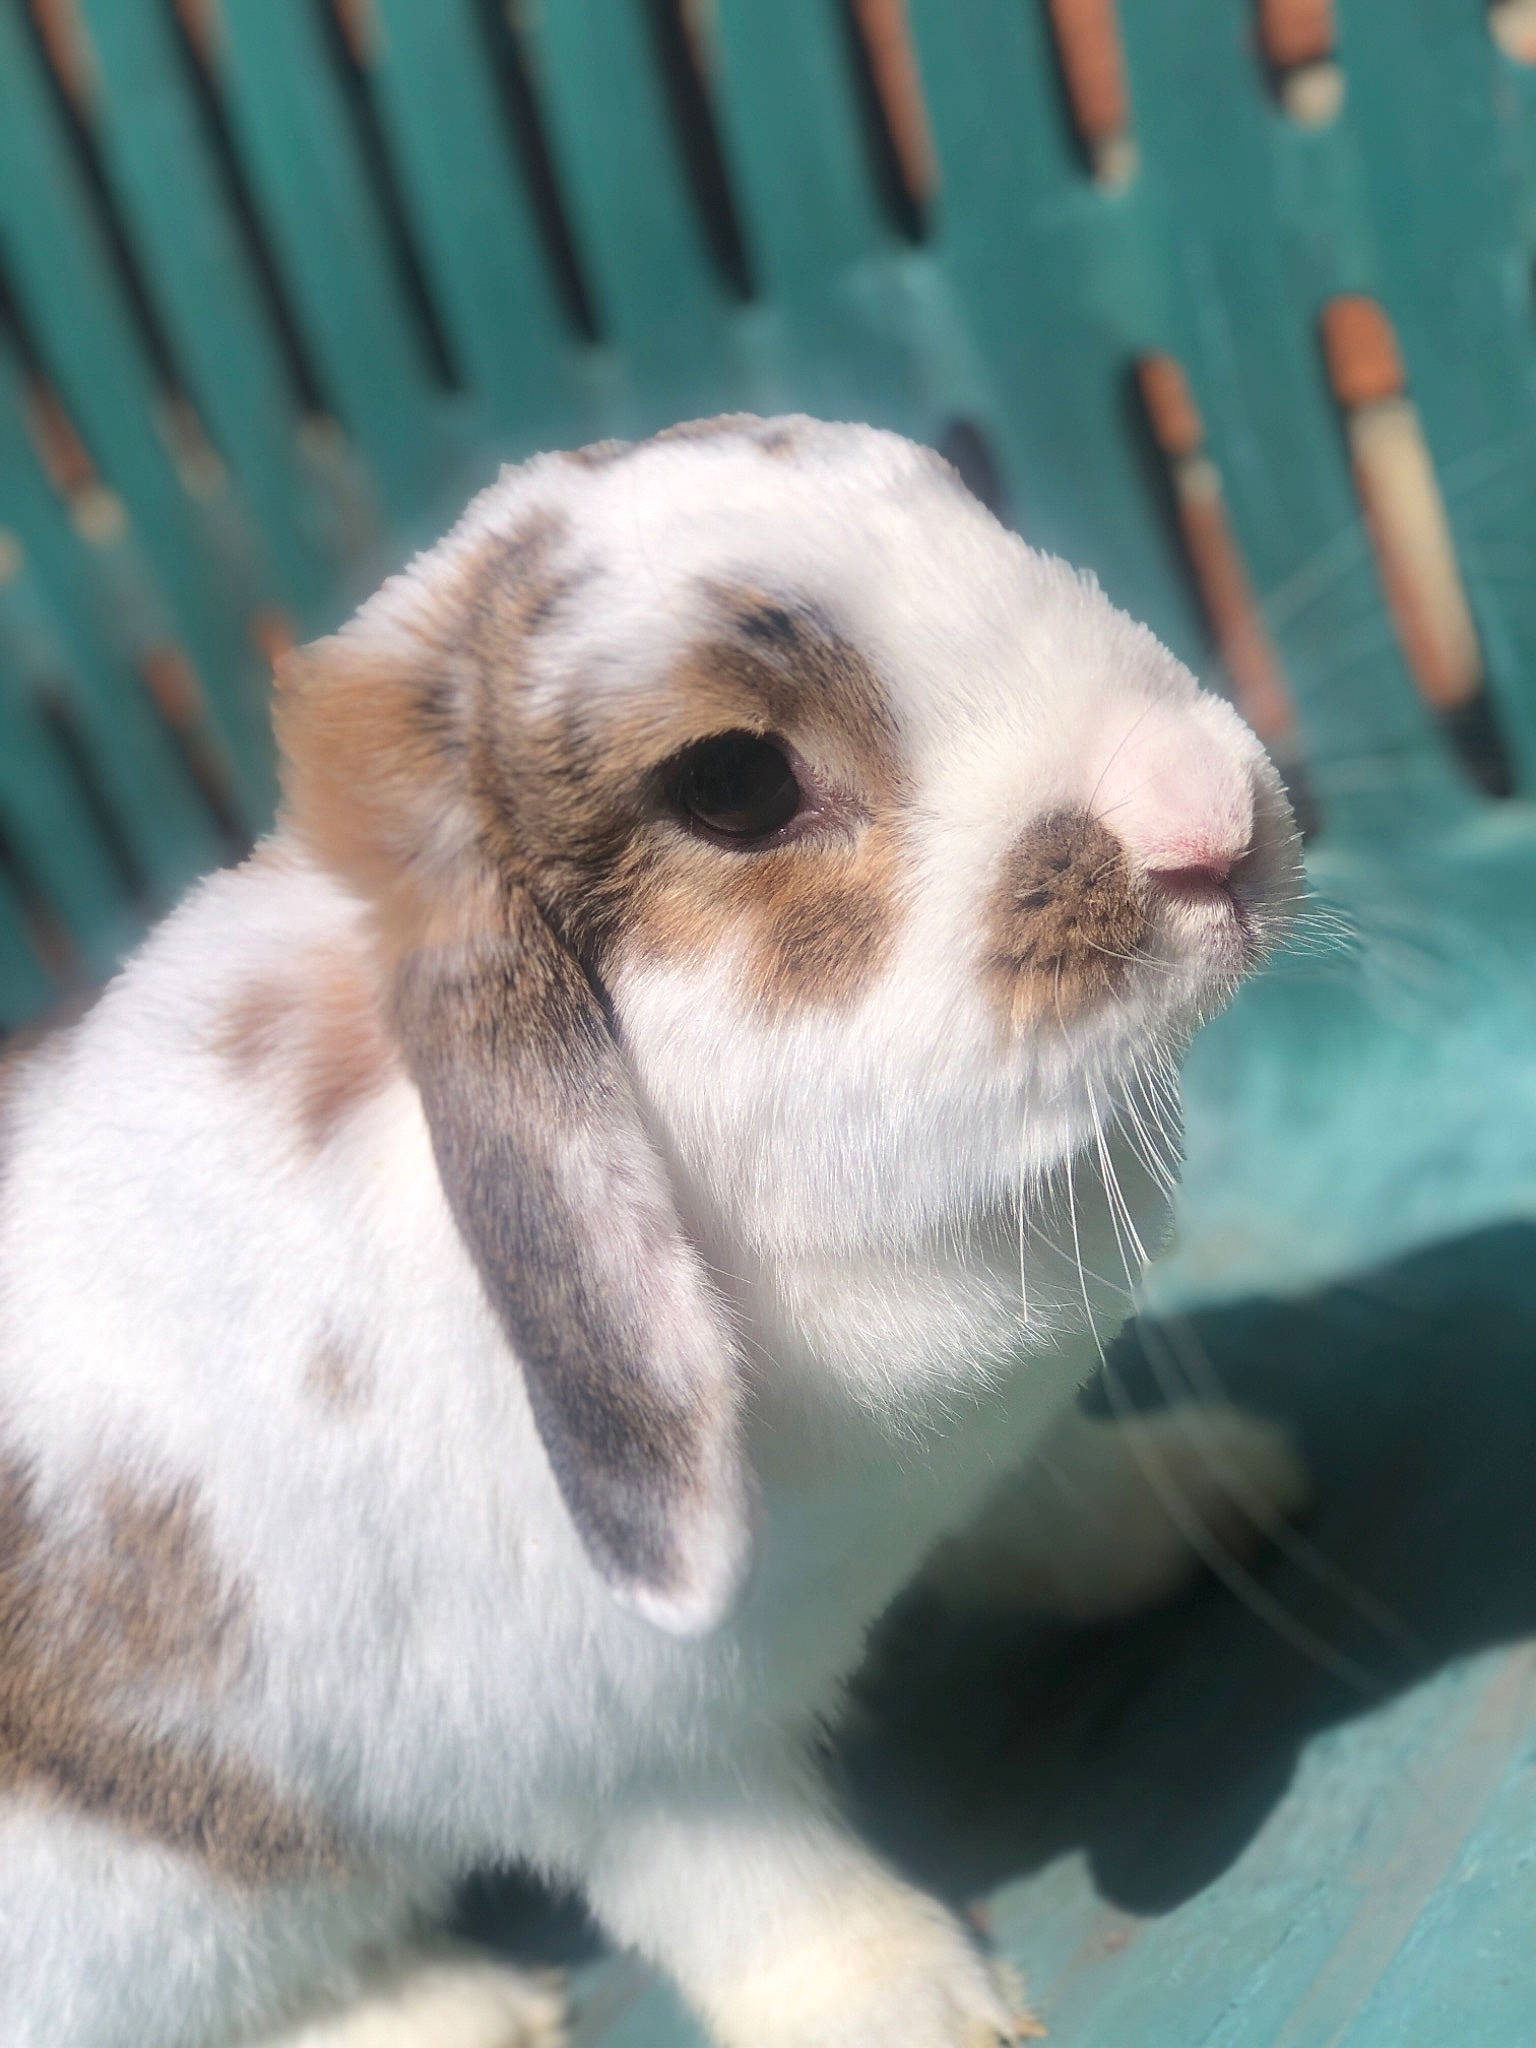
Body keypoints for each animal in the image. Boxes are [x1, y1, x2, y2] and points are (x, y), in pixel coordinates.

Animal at [0, 414, 1306, 2048]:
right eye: (734, 783)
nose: (1219, 820)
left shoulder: (973, 1470)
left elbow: (1044, 1505)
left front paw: (1210, 1484)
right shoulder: (617, 1763)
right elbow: (751, 1886)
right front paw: (916, 2008)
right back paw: (459, 2009)